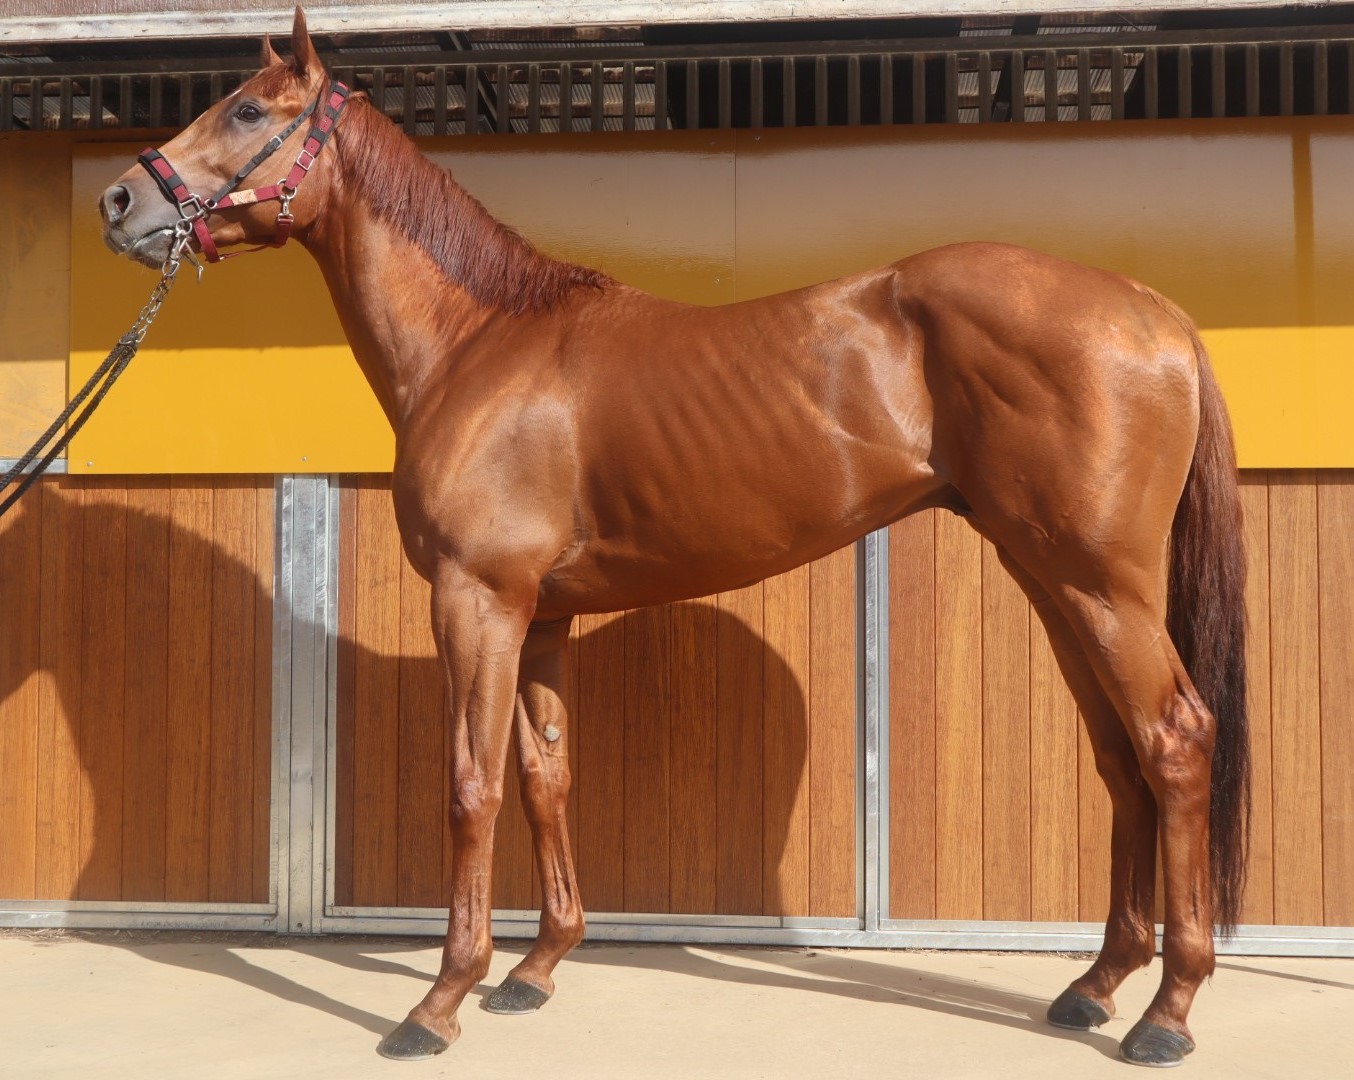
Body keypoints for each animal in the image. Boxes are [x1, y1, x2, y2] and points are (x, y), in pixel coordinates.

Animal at [98, 9, 1250, 1069]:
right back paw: (1095, 986)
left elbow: (471, 785)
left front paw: (439, 1001)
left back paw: (1166, 1013)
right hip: (1053, 581)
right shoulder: (541, 617)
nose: (119, 201)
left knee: (1175, 741)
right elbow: (545, 776)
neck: (479, 344)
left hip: (1100, 587)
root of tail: (1152, 311)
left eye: (248, 111)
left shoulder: (477, 601)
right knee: (1119, 756)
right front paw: (536, 969)